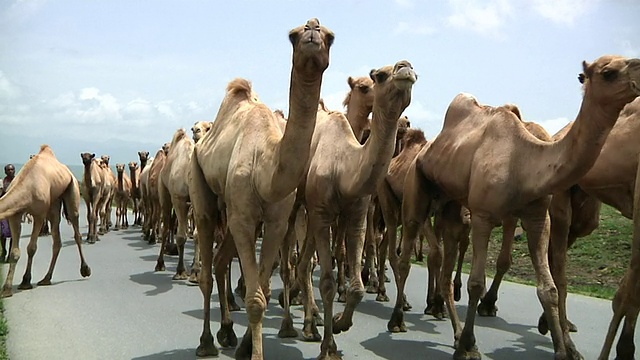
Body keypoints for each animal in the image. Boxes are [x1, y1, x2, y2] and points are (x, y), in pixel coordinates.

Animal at [0, 144, 91, 298]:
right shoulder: (15, 214)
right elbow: (15, 252)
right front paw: (6, 289)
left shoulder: (39, 215)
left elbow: (31, 248)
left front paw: (25, 281)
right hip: (54, 204)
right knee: (57, 240)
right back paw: (46, 278)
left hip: (72, 189)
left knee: (76, 231)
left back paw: (85, 270)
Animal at [186, 18, 332, 358]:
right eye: (293, 36)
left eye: (331, 37)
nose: (313, 29)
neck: (266, 166)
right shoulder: (243, 218)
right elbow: (254, 299)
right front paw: (251, 351)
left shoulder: (276, 221)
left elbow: (263, 290)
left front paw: (243, 347)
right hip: (201, 186)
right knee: (207, 268)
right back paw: (206, 342)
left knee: (221, 262)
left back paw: (227, 332)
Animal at [388, 54, 640, 360]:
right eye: (609, 72)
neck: (523, 161)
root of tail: (424, 149)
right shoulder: (483, 215)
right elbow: (476, 283)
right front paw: (469, 342)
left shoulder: (537, 218)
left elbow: (549, 288)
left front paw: (564, 350)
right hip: (417, 186)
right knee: (405, 256)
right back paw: (398, 320)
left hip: (452, 206)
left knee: (445, 266)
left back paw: (454, 331)